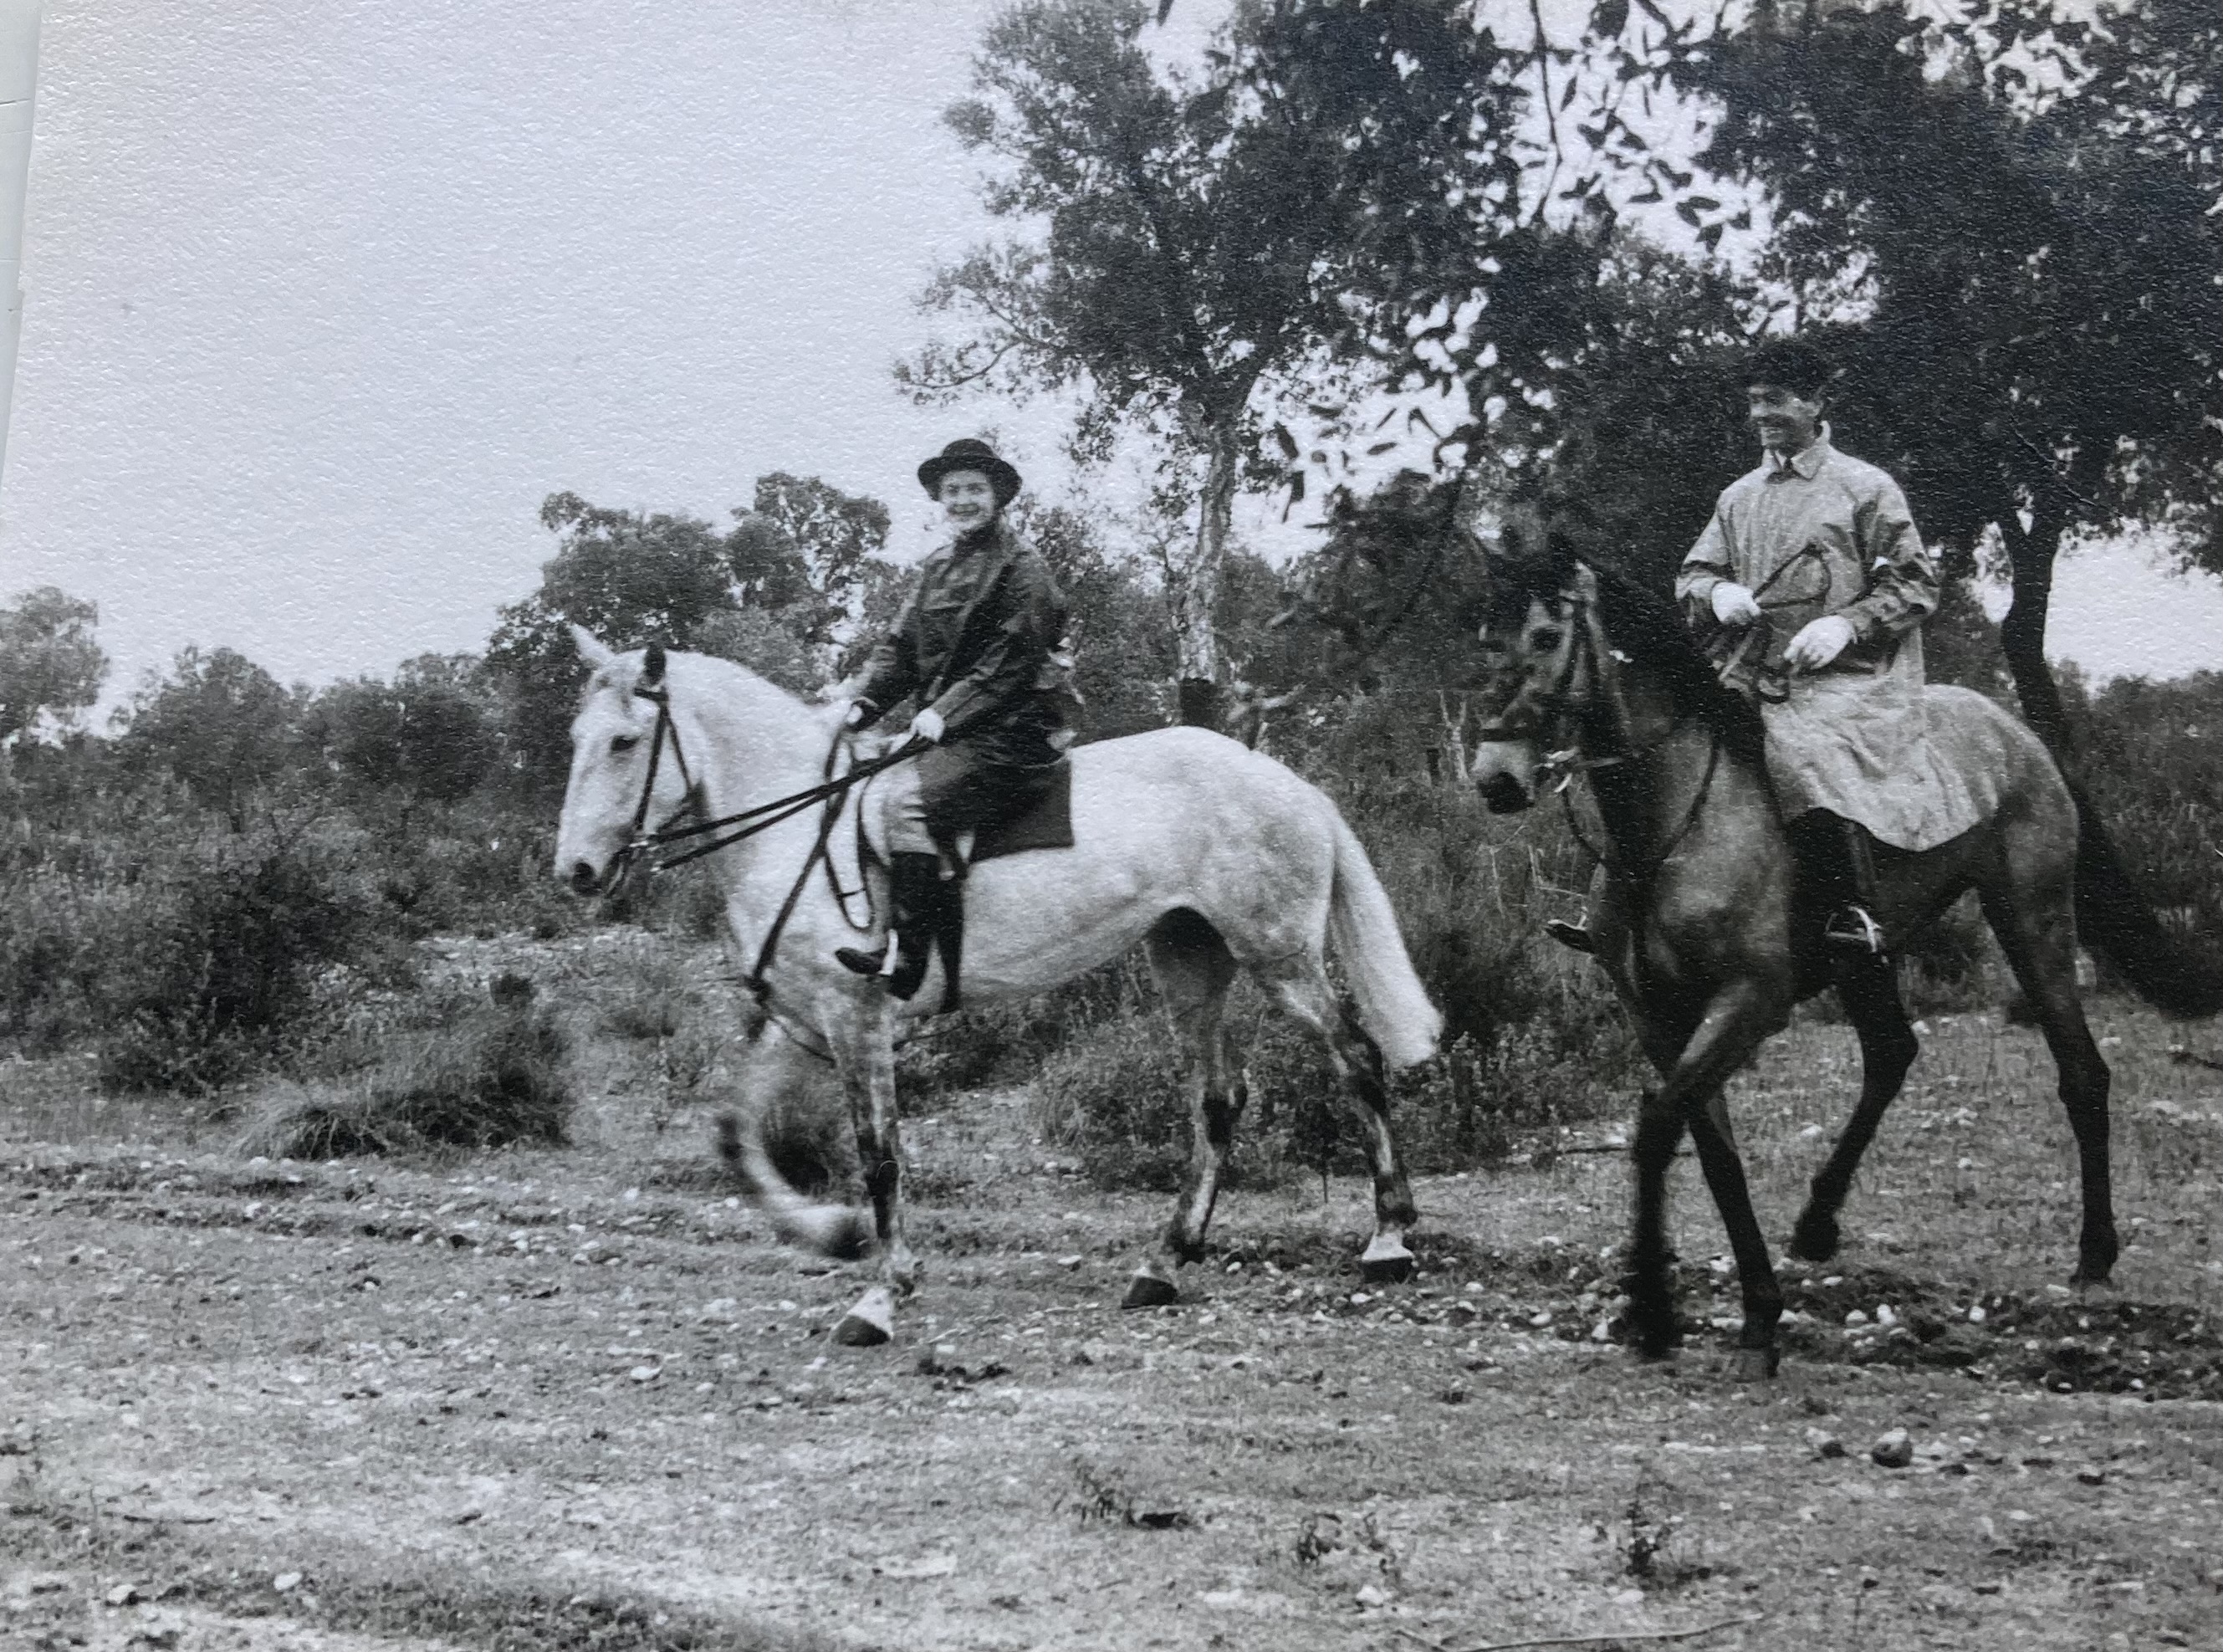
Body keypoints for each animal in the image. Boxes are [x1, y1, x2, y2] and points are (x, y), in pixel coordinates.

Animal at [555, 630, 1443, 1345]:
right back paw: (1164, 1262)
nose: (578, 872)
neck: (803, 829)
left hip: (1279, 957)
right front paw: (832, 1231)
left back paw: (1388, 1238)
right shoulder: (805, 1018)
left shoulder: (857, 1018)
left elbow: (880, 1154)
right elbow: (736, 1132)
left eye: (626, 741)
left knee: (1357, 1059)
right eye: (577, 737)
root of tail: (1290, 782)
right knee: (1220, 1098)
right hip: (1189, 962)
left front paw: (883, 1293)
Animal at [1465, 538, 2221, 1380]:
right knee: (1892, 1053)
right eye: (1483, 636)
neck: (1666, 830)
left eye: (1543, 636)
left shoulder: (1750, 999)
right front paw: (1755, 1314)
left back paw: (2093, 1255)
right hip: (1868, 959)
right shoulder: (1656, 1017)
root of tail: (2018, 732)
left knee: (2081, 1071)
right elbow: (1713, 1151)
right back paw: (1818, 1222)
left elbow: (1661, 1126)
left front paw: (1659, 1313)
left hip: (2033, 919)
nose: (1496, 777)